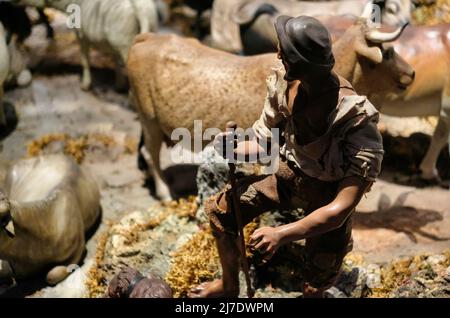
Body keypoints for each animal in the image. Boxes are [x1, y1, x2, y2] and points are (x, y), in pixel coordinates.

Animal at [127, 18, 414, 199]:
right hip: (148, 118)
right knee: (150, 154)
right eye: (388, 52)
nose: (411, 73)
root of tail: (147, 37)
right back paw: (165, 193)